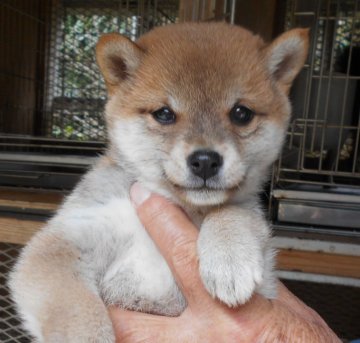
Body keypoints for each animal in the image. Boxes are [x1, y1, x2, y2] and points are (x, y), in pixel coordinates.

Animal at [9, 22, 308, 342]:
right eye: (164, 113)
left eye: (241, 113)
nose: (205, 160)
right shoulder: (68, 238)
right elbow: (76, 308)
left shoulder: (264, 271)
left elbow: (232, 211)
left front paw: (229, 257)